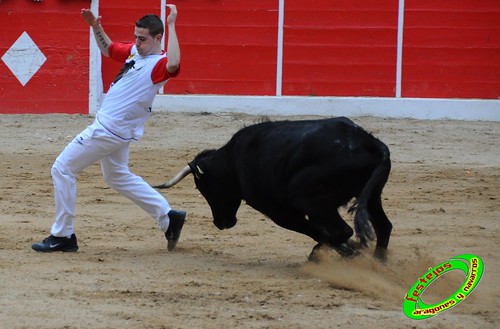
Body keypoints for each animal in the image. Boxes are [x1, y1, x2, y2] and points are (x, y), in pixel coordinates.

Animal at [154, 116, 392, 260]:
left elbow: (313, 230)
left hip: (310, 201)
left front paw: (346, 249)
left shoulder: (278, 210)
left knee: (341, 230)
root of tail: (368, 142)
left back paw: (320, 257)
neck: (233, 159)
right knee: (383, 226)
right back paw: (377, 263)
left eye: (205, 188)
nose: (221, 223)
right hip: (372, 197)